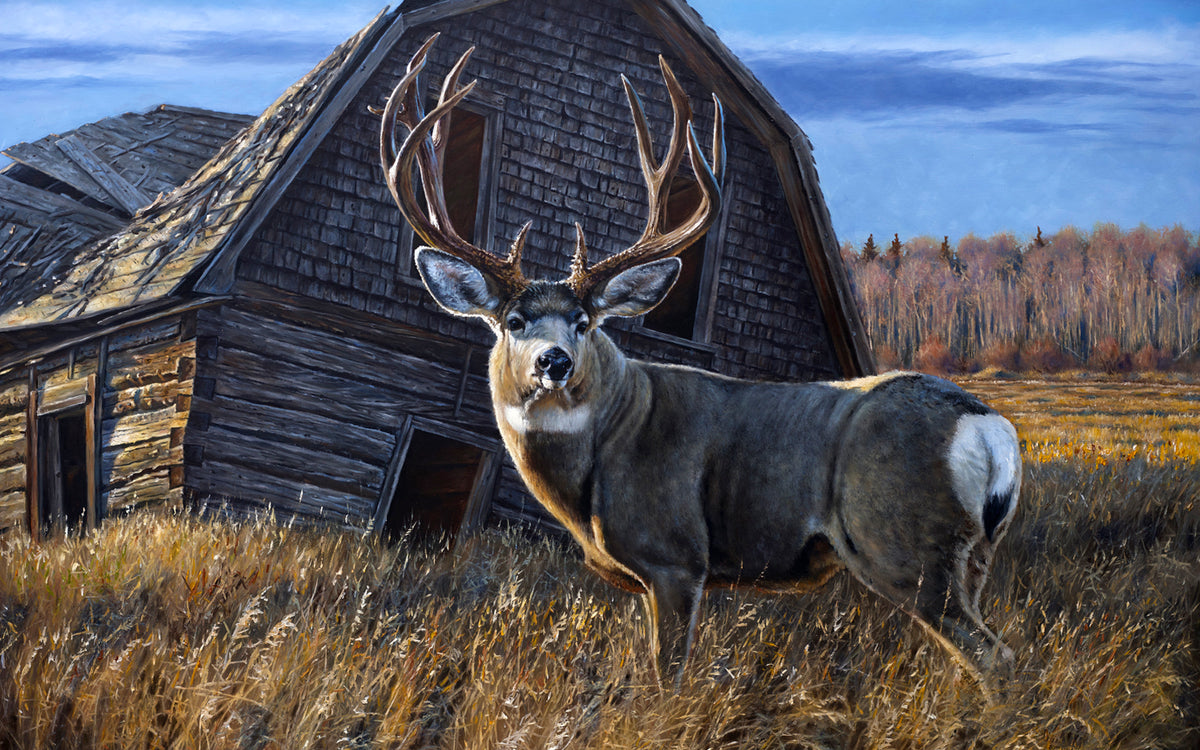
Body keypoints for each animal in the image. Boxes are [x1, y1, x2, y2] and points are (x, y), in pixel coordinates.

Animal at [376, 34, 1022, 691]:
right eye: (513, 321)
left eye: (585, 322)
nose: (554, 362)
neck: (605, 451)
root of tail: (989, 427)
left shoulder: (676, 556)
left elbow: (668, 677)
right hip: (972, 557)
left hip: (905, 545)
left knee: (994, 655)